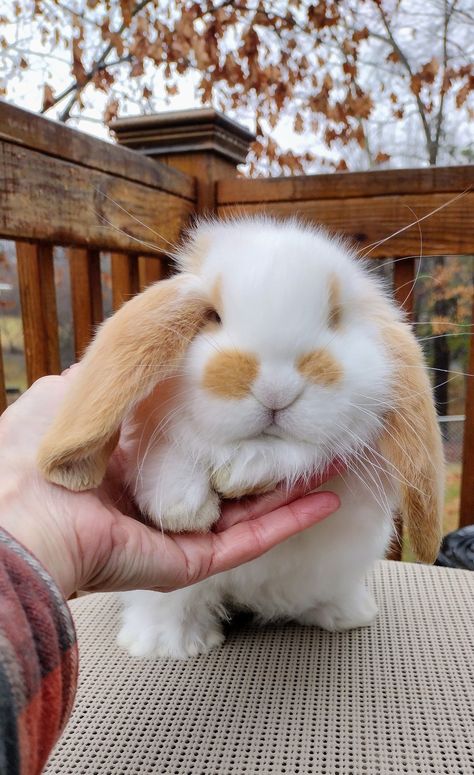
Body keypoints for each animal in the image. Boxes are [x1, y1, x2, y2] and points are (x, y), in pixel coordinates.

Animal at [37, 218, 444, 660]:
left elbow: (298, 453)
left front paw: (241, 473)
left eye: (336, 317)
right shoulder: (157, 433)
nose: (276, 389)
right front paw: (184, 510)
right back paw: (167, 644)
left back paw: (346, 613)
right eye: (212, 315)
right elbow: (171, 457)